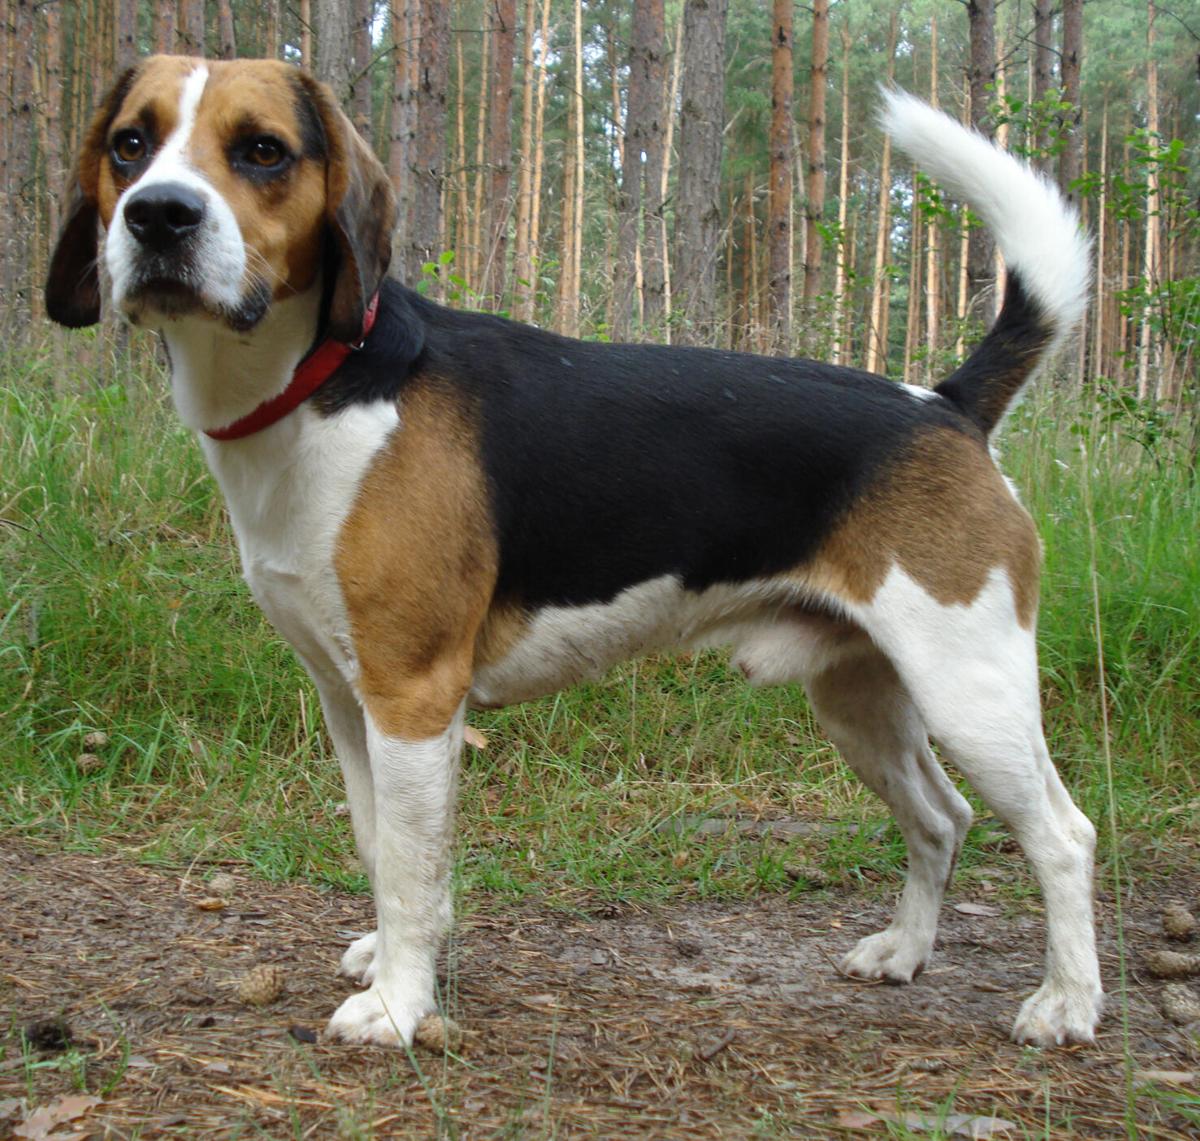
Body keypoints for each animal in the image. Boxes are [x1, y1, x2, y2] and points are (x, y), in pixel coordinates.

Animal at [46, 57, 1099, 1046]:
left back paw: (1066, 1004)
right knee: (941, 819)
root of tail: (945, 404)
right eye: (130, 145)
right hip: (862, 698)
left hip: (971, 688)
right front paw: (387, 960)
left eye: (263, 150)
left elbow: (413, 870)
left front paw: (397, 1005)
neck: (322, 384)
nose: (159, 216)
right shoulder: (348, 700)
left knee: (1062, 834)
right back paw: (906, 952)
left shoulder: (413, 699)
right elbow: (379, 850)